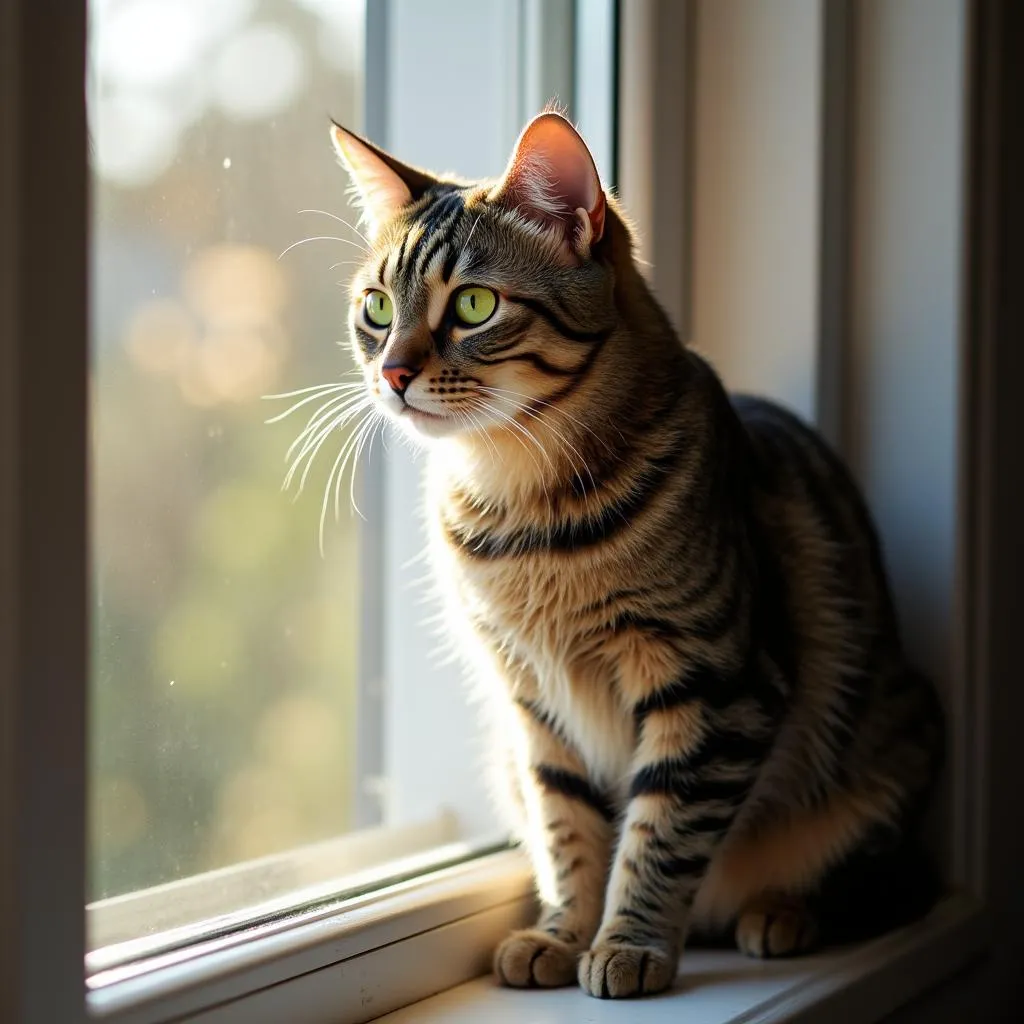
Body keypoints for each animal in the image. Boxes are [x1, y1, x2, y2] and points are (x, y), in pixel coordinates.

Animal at [327, 112, 942, 999]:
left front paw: (630, 944)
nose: (392, 372)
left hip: (892, 751)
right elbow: (569, 831)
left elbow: (662, 833)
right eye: (376, 307)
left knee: (886, 883)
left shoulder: (715, 684)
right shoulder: (534, 706)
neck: (524, 511)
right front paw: (560, 933)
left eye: (474, 304)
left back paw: (783, 913)